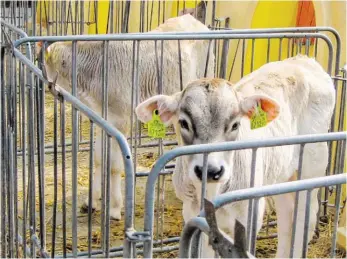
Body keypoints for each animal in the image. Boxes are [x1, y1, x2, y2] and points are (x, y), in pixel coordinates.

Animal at [136, 54, 338, 258]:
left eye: (235, 125)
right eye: (184, 123)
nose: (211, 171)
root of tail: (303, 59)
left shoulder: (249, 215)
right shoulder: (192, 211)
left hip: (311, 168)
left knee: (304, 220)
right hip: (282, 175)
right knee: (287, 216)